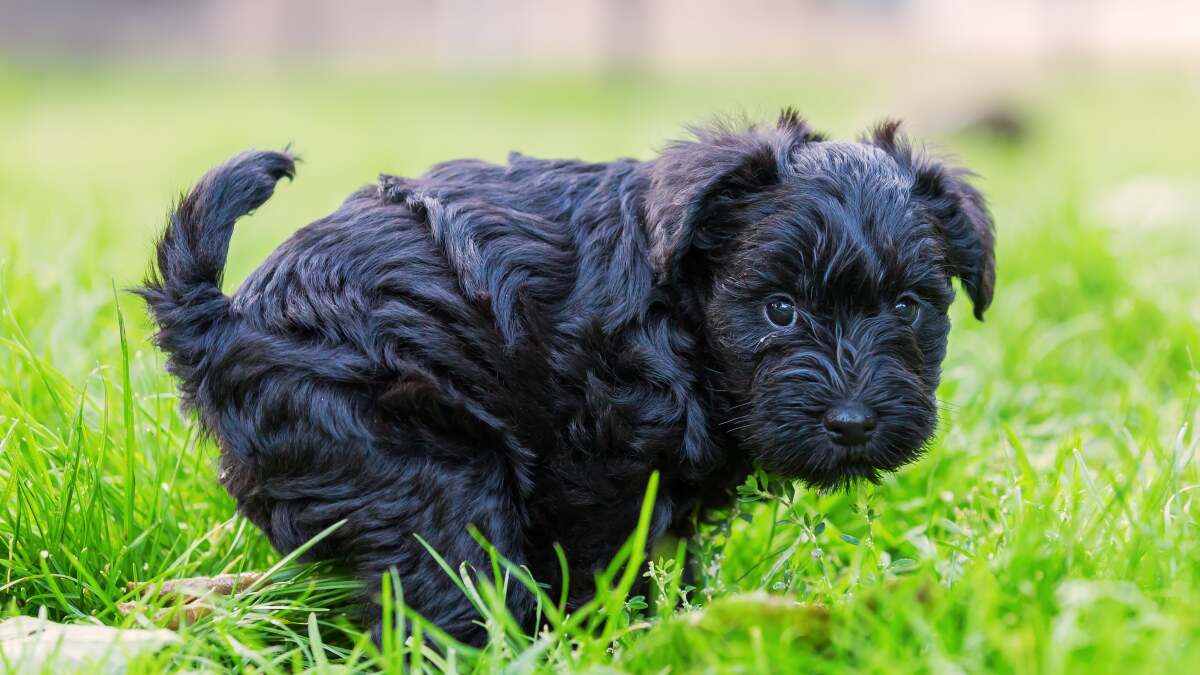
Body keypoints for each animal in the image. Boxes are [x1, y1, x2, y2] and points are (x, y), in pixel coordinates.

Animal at [138, 110, 993, 638]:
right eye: (779, 309)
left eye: (910, 307)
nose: (852, 421)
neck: (678, 314)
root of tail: (221, 319)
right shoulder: (597, 469)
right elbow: (605, 565)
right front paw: (620, 635)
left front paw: (684, 619)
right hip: (418, 464)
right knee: (446, 585)